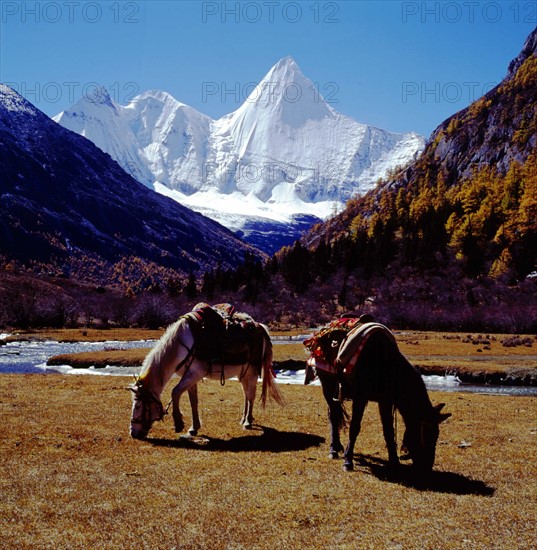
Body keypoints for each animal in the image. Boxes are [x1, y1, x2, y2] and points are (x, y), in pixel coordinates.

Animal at [129, 306, 284, 440]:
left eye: (138, 405)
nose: (133, 432)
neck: (180, 346)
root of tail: (260, 327)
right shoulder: (190, 376)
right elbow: (193, 401)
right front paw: (193, 428)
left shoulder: (195, 374)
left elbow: (175, 392)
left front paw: (179, 423)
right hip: (242, 373)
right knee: (246, 394)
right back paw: (244, 419)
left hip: (251, 371)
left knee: (251, 395)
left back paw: (247, 422)